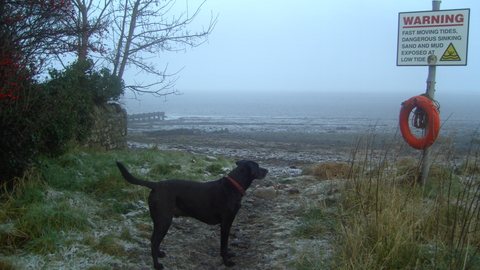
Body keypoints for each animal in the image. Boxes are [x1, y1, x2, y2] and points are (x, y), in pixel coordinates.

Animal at [115, 159, 268, 268]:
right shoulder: (226, 223)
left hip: (158, 219)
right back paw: (157, 265)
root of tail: (156, 185)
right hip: (165, 219)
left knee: (154, 240)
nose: (267, 170)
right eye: (258, 166)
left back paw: (159, 254)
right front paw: (227, 262)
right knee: (154, 241)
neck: (234, 185)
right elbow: (223, 245)